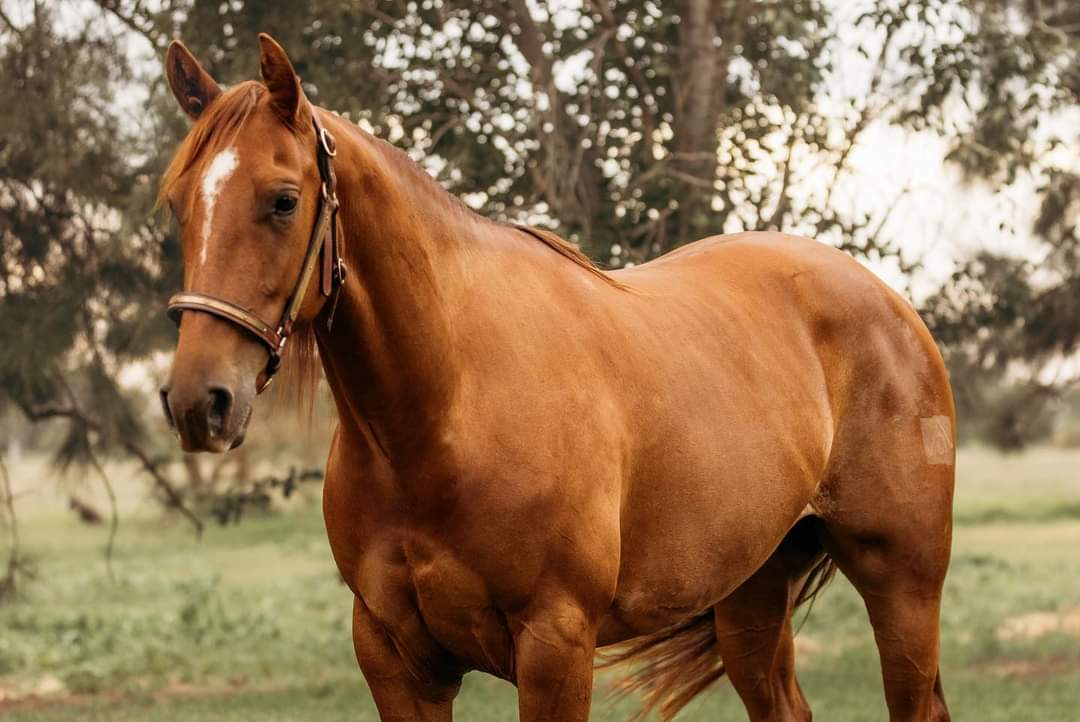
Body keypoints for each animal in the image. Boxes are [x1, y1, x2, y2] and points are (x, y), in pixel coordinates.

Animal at [158, 35, 955, 722]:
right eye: (178, 204)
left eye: (283, 200)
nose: (200, 402)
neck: (441, 417)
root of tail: (893, 306)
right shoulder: (395, 657)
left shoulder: (555, 647)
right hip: (753, 590)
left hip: (902, 585)